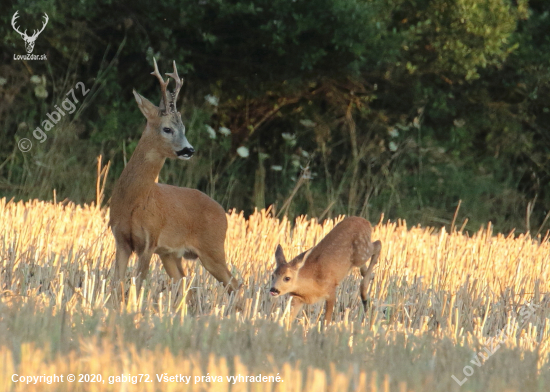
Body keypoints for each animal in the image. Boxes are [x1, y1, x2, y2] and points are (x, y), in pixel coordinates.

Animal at [111, 58, 240, 298]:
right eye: (167, 129)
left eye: (185, 128)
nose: (189, 150)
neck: (134, 201)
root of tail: (224, 213)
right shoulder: (121, 240)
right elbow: (117, 285)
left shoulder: (149, 241)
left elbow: (137, 286)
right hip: (172, 255)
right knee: (187, 287)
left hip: (213, 249)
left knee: (236, 286)